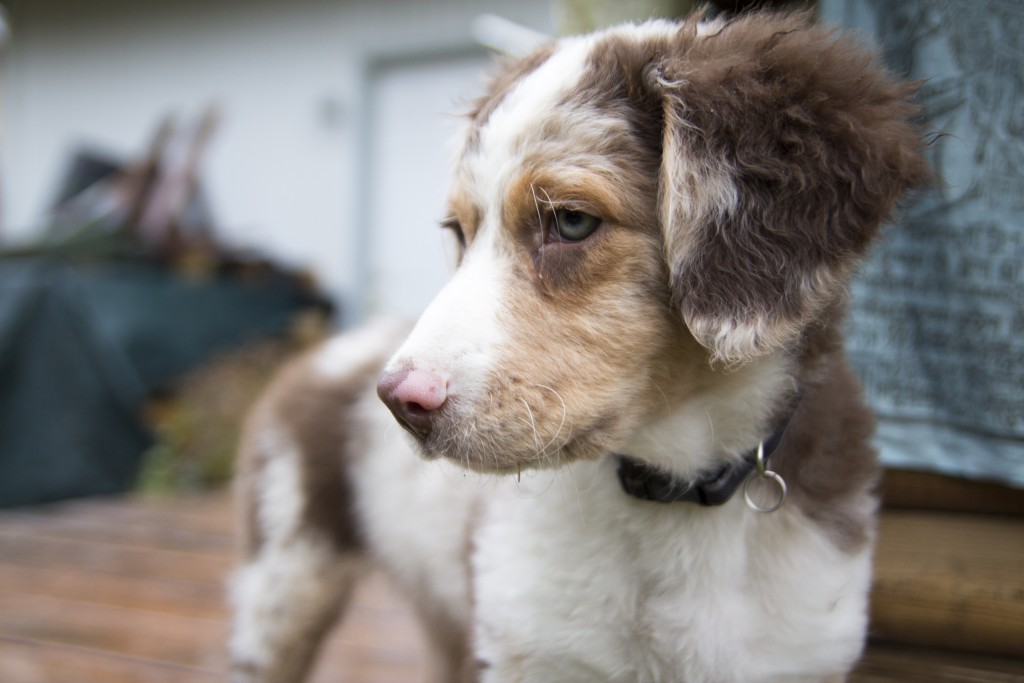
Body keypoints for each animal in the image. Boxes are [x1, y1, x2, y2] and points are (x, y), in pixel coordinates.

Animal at [230, 12, 929, 683]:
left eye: (569, 221)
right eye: (459, 232)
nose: (399, 401)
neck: (673, 491)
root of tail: (325, 347)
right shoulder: (521, 648)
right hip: (284, 580)